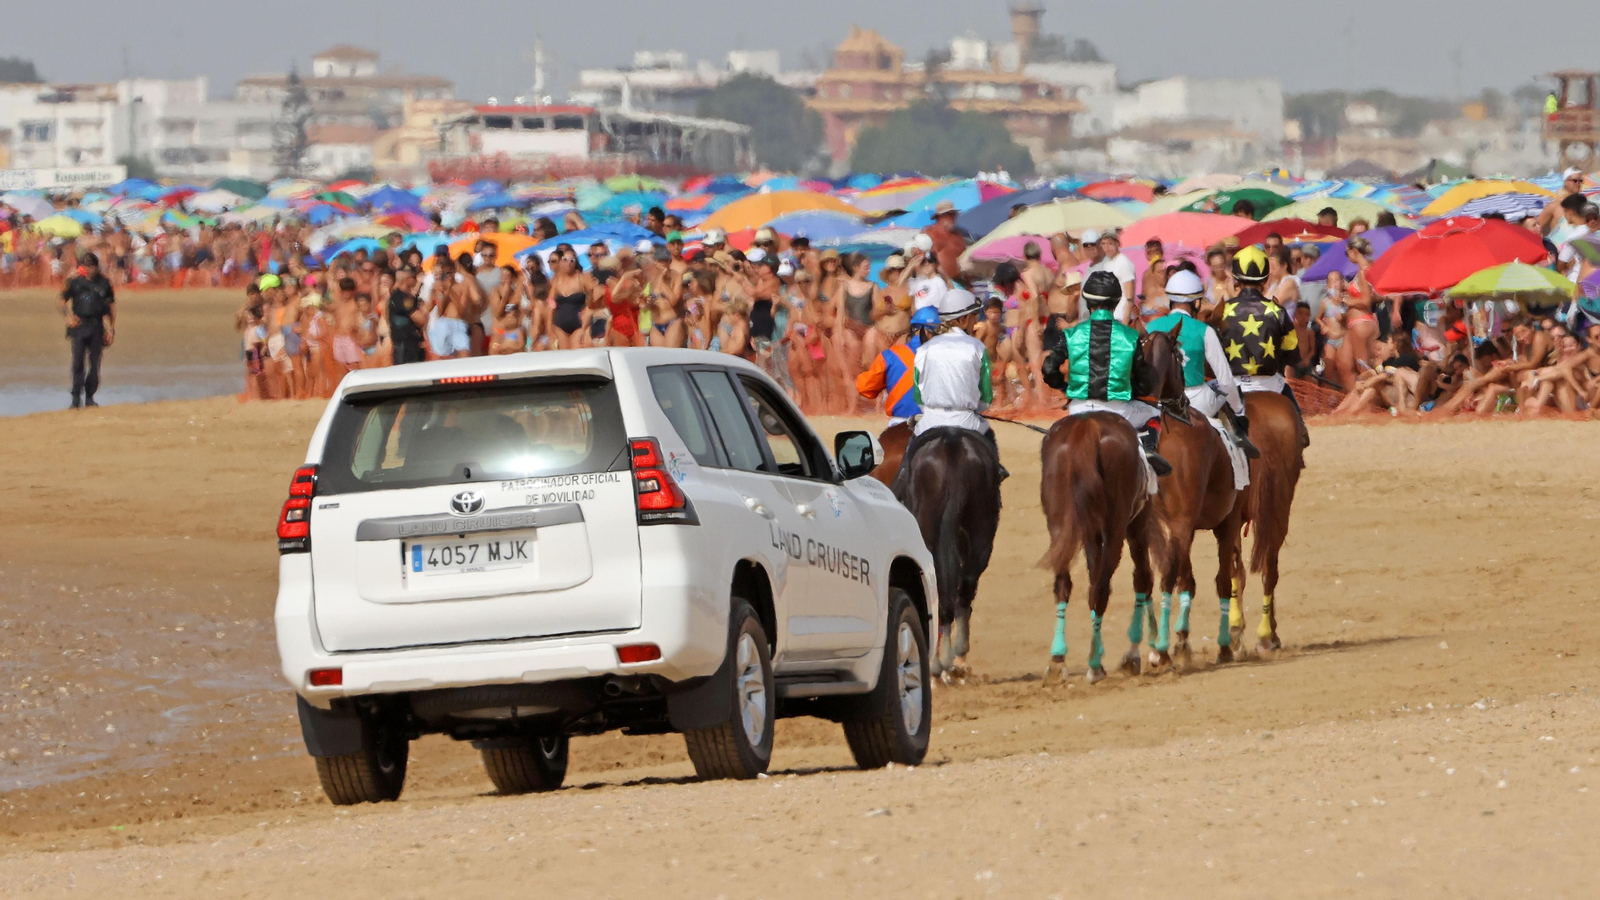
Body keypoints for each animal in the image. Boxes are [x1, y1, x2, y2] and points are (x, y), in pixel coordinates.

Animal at [1037, 331, 1183, 683]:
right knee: (1102, 587)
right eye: (1180, 358)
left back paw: (1059, 659)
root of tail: (1087, 429)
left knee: (1065, 584)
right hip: (1116, 525)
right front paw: (1144, 652)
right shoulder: (1138, 522)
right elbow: (1143, 578)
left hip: (1061, 524)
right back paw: (1093, 664)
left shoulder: (1091, 529)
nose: (1183, 402)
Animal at [1127, 330, 1246, 672]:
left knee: (1158, 577)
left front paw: (1179, 640)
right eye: (1180, 356)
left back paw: (1160, 646)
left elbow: (1182, 579)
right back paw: (1171, 647)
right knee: (1188, 577)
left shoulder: (1174, 525)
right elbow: (1216, 580)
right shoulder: (1220, 522)